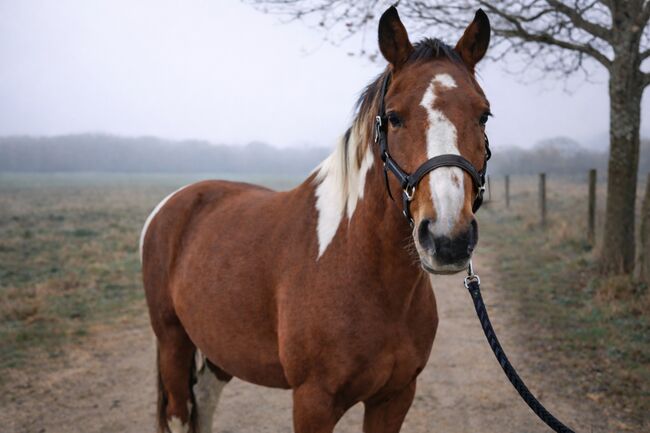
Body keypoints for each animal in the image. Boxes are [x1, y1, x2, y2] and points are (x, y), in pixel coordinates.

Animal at [140, 6, 491, 433]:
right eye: (394, 117)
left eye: (483, 115)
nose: (447, 239)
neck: (355, 264)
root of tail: (174, 203)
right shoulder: (313, 402)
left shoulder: (395, 397)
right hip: (172, 341)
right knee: (180, 410)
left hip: (218, 347)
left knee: (204, 401)